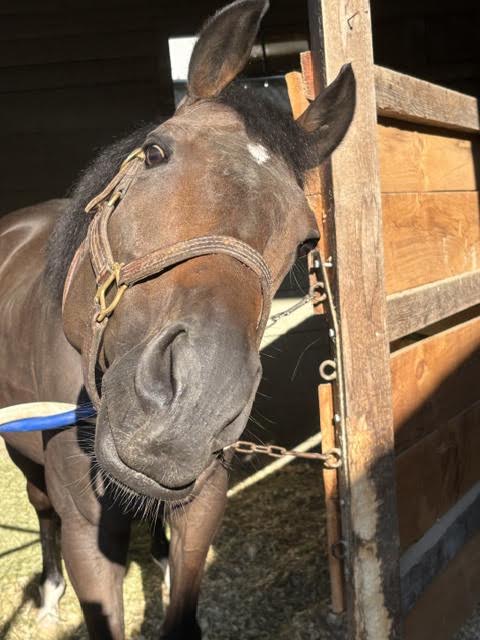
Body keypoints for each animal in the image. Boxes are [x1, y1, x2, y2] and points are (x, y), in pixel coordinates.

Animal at [0, 0, 355, 637]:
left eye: (307, 238)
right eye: (154, 153)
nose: (196, 404)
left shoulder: (204, 502)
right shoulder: (89, 536)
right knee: (41, 511)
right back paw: (48, 593)